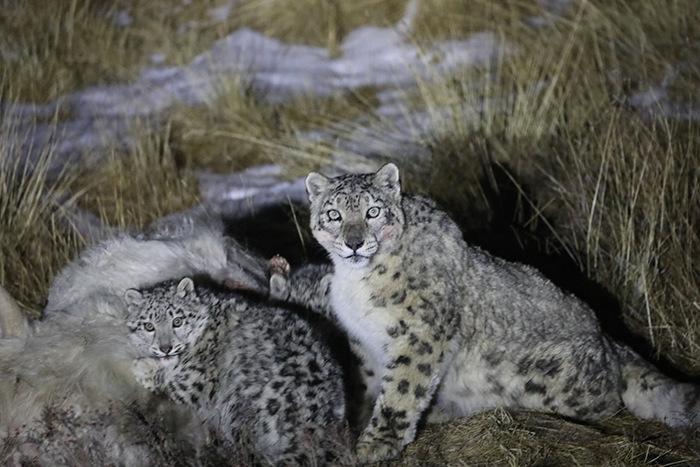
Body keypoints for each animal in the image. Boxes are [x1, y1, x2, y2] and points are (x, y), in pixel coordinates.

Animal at [126, 278, 350, 464]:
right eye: (148, 326)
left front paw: (141, 367)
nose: (166, 348)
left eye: (177, 321)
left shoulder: (195, 383)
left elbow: (166, 385)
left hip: (239, 405)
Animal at [272, 163, 700, 462]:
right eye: (334, 215)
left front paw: (377, 443)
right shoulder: (362, 341)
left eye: (374, 211)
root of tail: (610, 340)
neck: (355, 283)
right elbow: (369, 385)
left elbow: (401, 390)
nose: (355, 243)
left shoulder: (420, 334)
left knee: (607, 402)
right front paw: (357, 424)